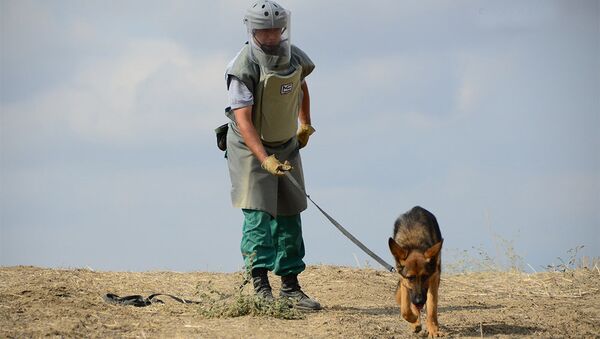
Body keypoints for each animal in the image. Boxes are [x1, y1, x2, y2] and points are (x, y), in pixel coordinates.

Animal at [386, 207, 442, 338]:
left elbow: (431, 307)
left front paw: (433, 329)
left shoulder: (433, 278)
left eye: (425, 276)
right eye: (410, 277)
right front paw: (414, 319)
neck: (414, 244)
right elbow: (405, 309)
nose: (419, 301)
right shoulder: (404, 281)